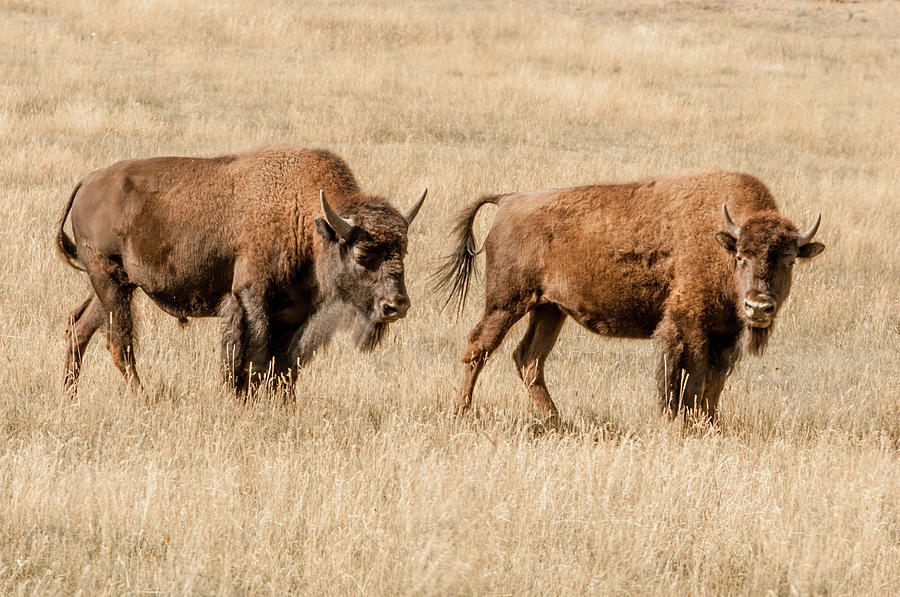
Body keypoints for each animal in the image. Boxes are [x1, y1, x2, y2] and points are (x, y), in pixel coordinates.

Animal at [58, 145, 428, 394]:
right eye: (363, 253)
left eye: (404, 251)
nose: (396, 306)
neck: (306, 218)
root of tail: (87, 182)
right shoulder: (251, 299)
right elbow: (251, 359)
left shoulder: (294, 317)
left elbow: (284, 368)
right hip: (109, 280)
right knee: (120, 344)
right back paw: (144, 401)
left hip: (116, 285)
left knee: (79, 327)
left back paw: (70, 396)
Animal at [440, 169, 828, 424]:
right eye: (742, 257)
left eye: (789, 259)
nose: (758, 306)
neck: (720, 242)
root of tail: (508, 200)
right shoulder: (688, 328)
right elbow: (688, 378)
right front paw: (680, 422)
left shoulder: (725, 336)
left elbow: (713, 383)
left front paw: (710, 423)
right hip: (506, 303)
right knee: (479, 348)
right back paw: (462, 411)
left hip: (549, 309)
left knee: (529, 359)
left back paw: (555, 421)